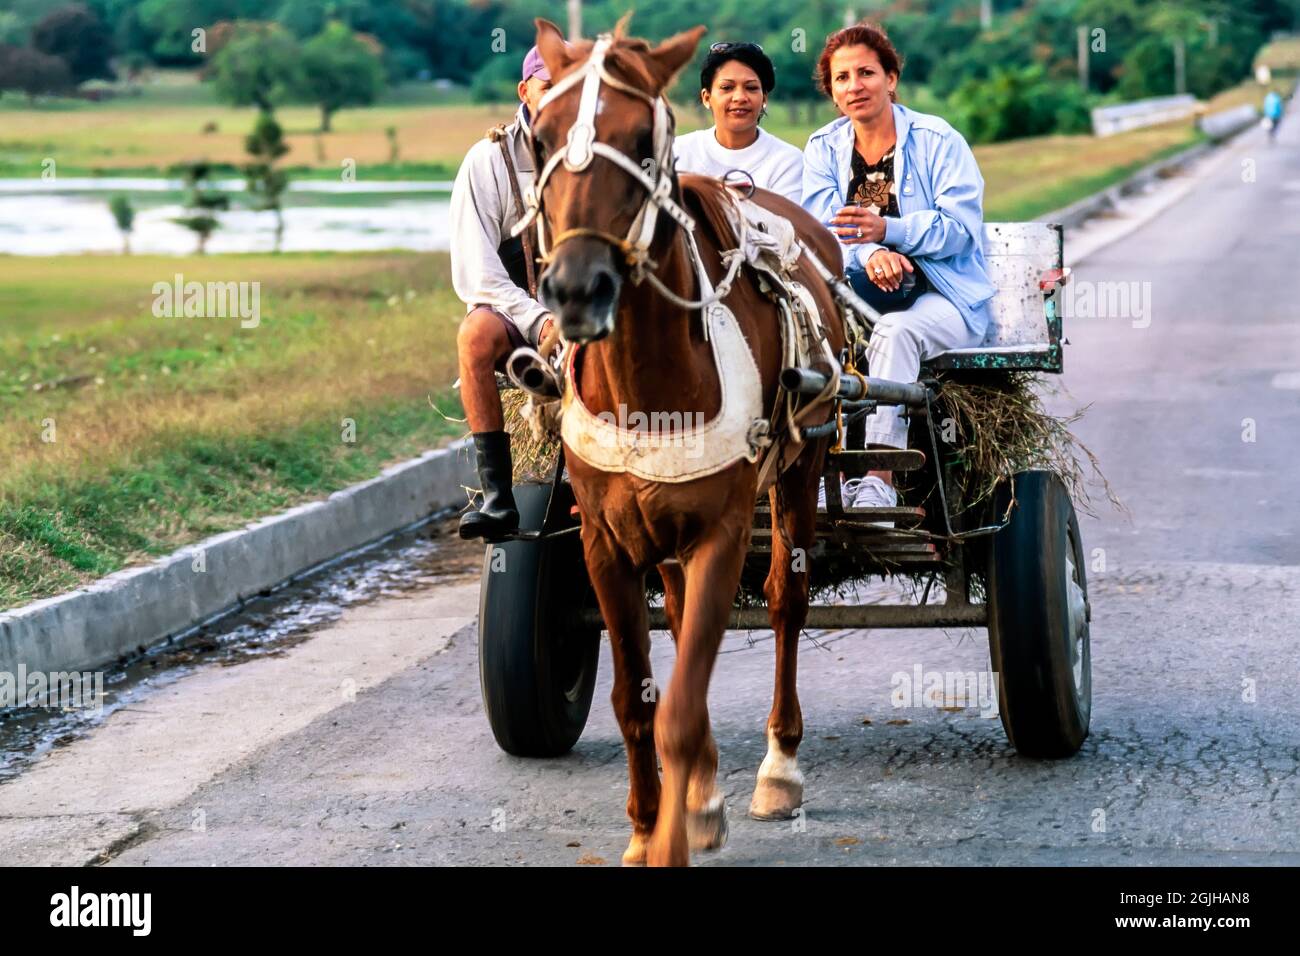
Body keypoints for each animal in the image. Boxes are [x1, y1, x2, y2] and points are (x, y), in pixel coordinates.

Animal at [530, 16, 847, 868]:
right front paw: (652, 824)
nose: (576, 287)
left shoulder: (724, 529)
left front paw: (679, 824)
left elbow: (679, 701)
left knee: (786, 600)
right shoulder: (604, 539)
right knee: (676, 619)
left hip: (800, 466)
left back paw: (778, 768)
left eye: (643, 139)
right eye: (539, 137)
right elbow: (638, 698)